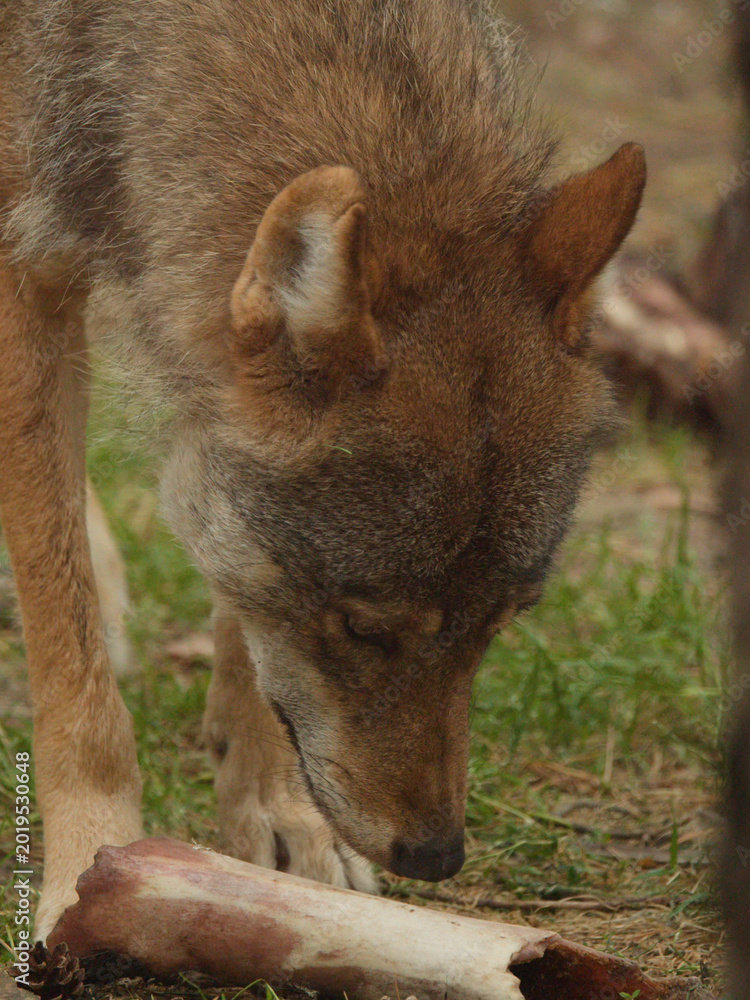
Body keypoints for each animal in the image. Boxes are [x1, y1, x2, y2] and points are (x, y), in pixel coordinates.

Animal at [0, 0, 645, 941]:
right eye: (365, 629)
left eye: (501, 624)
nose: (436, 857)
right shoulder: (24, 268)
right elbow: (68, 654)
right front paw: (89, 866)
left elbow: (242, 612)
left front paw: (276, 812)